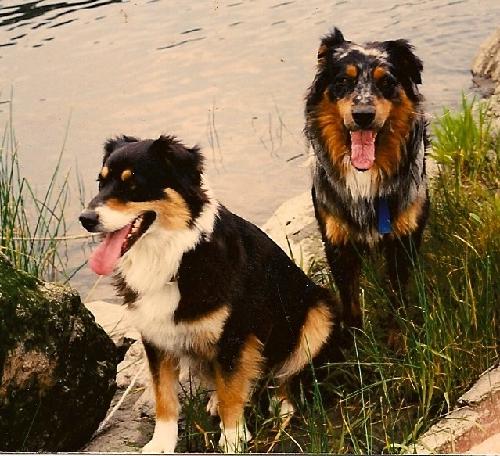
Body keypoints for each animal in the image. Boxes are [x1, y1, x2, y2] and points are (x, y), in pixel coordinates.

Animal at [79, 135, 344, 452]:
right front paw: (162, 443)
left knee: (287, 374)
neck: (176, 255)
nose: (85, 219)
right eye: (101, 182)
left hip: (319, 312)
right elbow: (163, 396)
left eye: (133, 184)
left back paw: (282, 405)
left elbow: (232, 394)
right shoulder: (155, 336)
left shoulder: (234, 335)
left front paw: (232, 440)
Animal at [304, 29, 430, 332]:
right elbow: (349, 303)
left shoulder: (402, 239)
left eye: (386, 82)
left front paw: (399, 336)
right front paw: (354, 340)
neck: (365, 176)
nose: (363, 116)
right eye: (343, 81)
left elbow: (397, 296)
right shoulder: (338, 242)